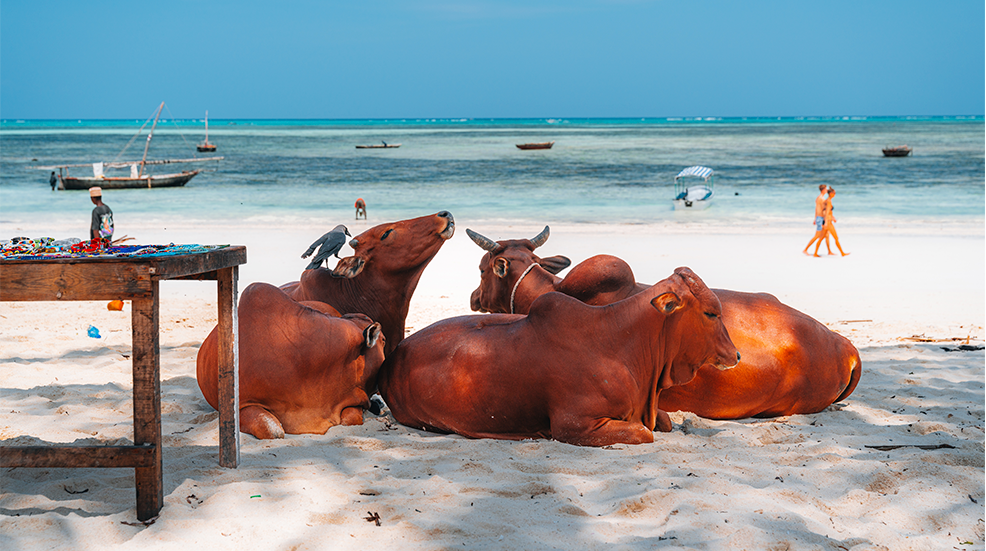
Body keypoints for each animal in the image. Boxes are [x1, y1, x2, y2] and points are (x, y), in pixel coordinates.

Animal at [378, 267, 740, 447]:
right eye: (711, 313)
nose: (736, 355)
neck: (622, 343)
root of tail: (391, 360)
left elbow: (662, 421)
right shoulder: (574, 425)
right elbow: (644, 432)